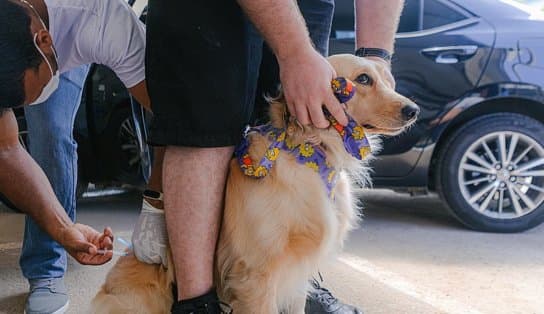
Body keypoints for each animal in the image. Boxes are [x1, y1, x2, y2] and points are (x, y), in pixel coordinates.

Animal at [91, 54, 418, 314]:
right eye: (363, 79)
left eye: (387, 79)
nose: (413, 110)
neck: (309, 154)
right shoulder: (256, 275)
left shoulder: (296, 276)